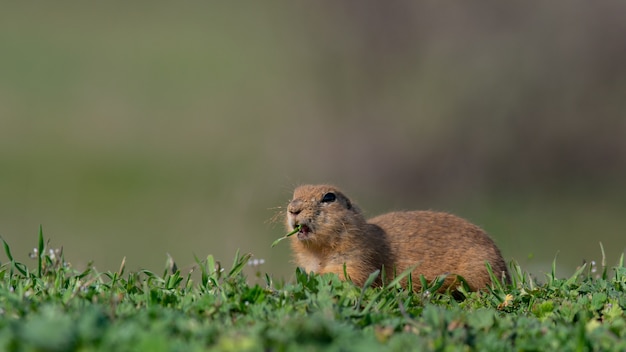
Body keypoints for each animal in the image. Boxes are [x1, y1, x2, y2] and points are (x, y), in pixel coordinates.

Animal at [286, 184, 510, 292]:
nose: (293, 209)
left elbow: (349, 277)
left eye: (329, 197)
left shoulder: (357, 257)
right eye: (293, 195)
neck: (318, 253)